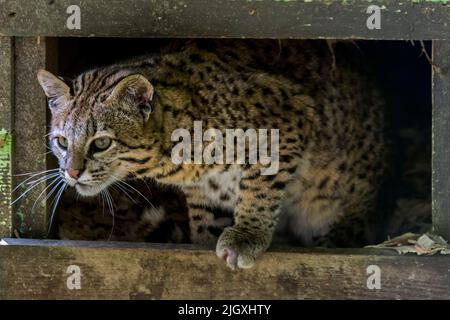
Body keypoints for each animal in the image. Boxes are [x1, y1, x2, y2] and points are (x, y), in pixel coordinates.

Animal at [37, 40, 384, 270]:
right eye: (62, 142)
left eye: (101, 144)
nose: (71, 173)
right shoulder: (205, 186)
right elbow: (208, 216)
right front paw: (204, 245)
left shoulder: (288, 119)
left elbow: (261, 188)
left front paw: (246, 236)